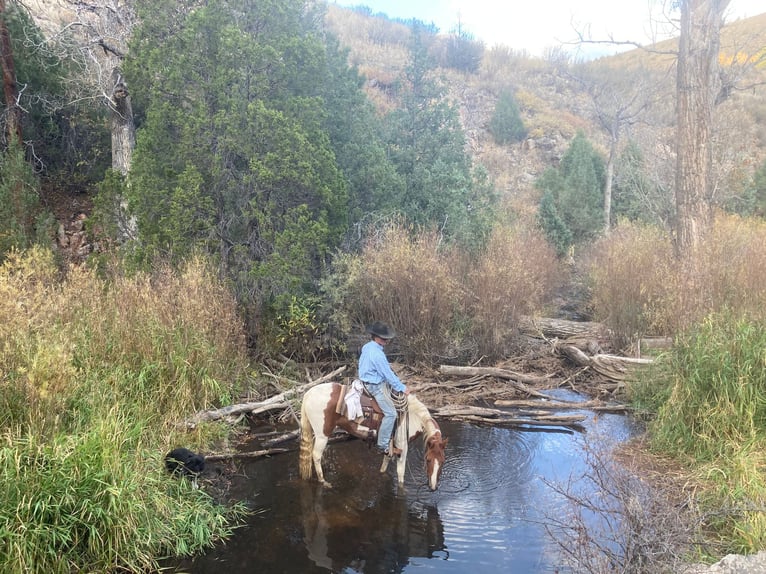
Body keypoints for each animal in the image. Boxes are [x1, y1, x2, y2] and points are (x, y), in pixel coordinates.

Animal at [296, 384, 448, 492]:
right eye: (428, 460)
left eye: (442, 461)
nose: (433, 487)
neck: (412, 416)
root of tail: (308, 394)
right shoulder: (402, 447)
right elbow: (400, 475)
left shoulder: (390, 445)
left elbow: (385, 463)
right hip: (322, 435)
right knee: (316, 455)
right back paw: (323, 481)